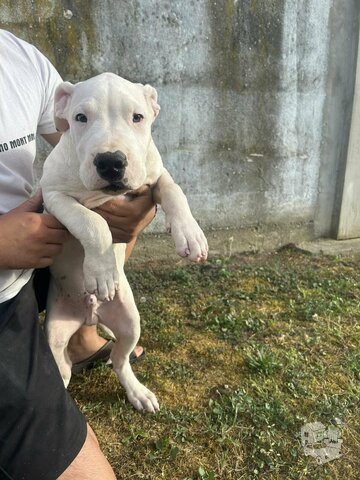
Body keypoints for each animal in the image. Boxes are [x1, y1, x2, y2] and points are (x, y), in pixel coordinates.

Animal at [40, 72, 208, 412]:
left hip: (130, 322)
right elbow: (93, 222)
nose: (110, 162)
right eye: (80, 118)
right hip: (54, 334)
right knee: (63, 368)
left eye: (138, 117)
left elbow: (173, 189)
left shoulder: (154, 173)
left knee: (120, 359)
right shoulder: (53, 196)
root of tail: (90, 315)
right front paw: (102, 272)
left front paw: (190, 233)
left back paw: (137, 392)